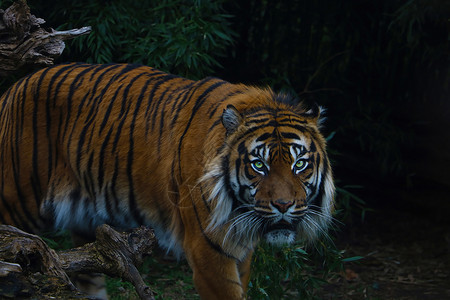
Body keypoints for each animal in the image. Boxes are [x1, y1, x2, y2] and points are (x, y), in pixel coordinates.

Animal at [0, 62, 332, 298]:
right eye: (259, 165)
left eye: (300, 164)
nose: (283, 206)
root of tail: (11, 89)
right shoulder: (208, 250)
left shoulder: (242, 250)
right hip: (18, 201)